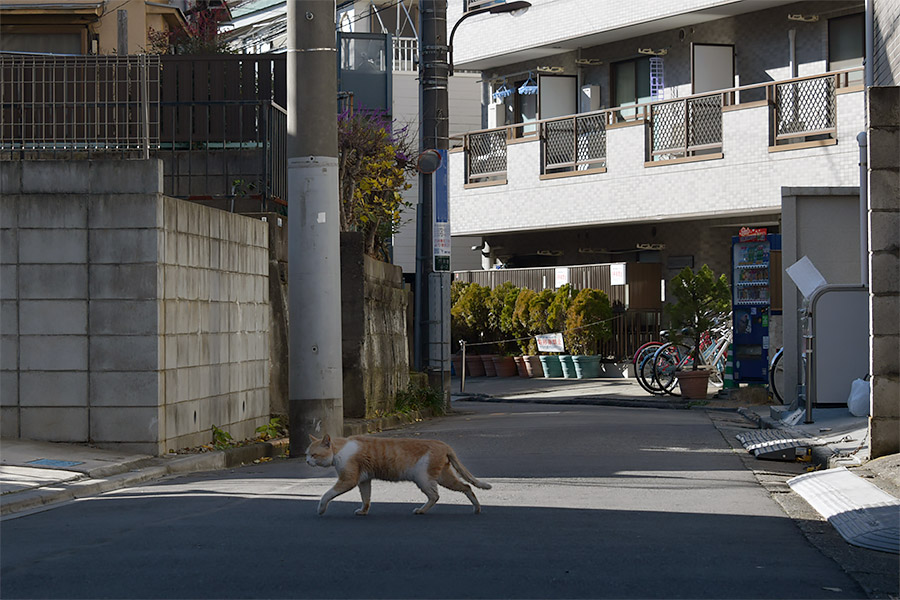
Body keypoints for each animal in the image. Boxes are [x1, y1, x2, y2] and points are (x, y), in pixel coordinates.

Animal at [308, 436, 492, 516]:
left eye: (313, 454)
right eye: (307, 454)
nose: (307, 461)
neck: (339, 450)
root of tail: (443, 444)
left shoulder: (348, 480)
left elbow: (327, 495)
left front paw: (320, 509)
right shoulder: (364, 480)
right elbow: (366, 498)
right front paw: (363, 511)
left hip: (423, 479)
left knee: (435, 495)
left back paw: (421, 510)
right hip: (443, 477)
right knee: (466, 486)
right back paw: (477, 508)